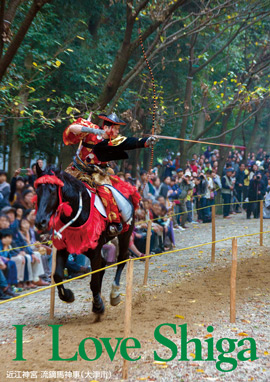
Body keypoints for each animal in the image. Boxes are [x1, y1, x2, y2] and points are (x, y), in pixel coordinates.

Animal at [34, 166, 134, 314]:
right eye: (37, 191)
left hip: (125, 233)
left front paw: (98, 305)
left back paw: (114, 294)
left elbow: (94, 282)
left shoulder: (95, 250)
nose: (40, 222)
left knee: (122, 257)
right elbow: (57, 275)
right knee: (103, 263)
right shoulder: (64, 246)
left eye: (52, 191)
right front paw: (67, 295)